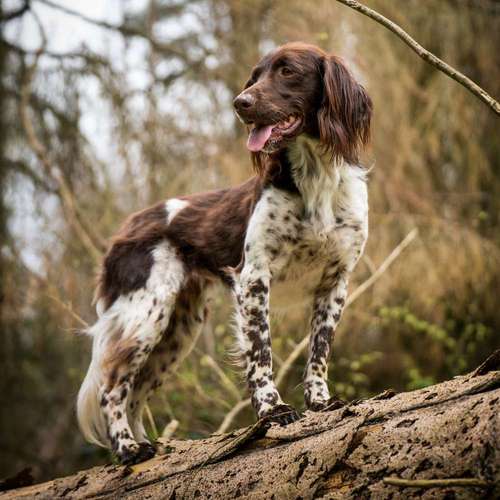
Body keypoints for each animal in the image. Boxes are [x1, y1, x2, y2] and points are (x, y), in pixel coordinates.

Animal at [77, 42, 372, 464]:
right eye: (255, 76)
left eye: (287, 71)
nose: (240, 103)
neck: (315, 180)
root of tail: (124, 230)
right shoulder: (254, 278)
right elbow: (261, 353)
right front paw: (272, 411)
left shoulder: (335, 282)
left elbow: (320, 349)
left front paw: (320, 402)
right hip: (146, 314)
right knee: (113, 384)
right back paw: (128, 448)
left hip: (176, 329)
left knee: (137, 391)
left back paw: (150, 445)